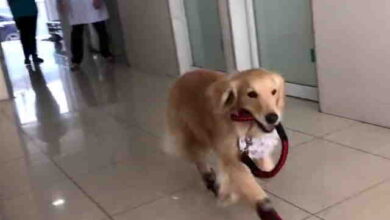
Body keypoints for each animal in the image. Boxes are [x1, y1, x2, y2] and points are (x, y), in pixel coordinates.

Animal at [166, 69, 284, 220]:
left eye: (274, 91)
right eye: (251, 94)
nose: (272, 117)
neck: (245, 125)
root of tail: (184, 75)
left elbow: (266, 166)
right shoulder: (231, 157)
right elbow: (248, 183)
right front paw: (265, 207)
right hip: (196, 134)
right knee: (198, 158)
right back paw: (209, 178)